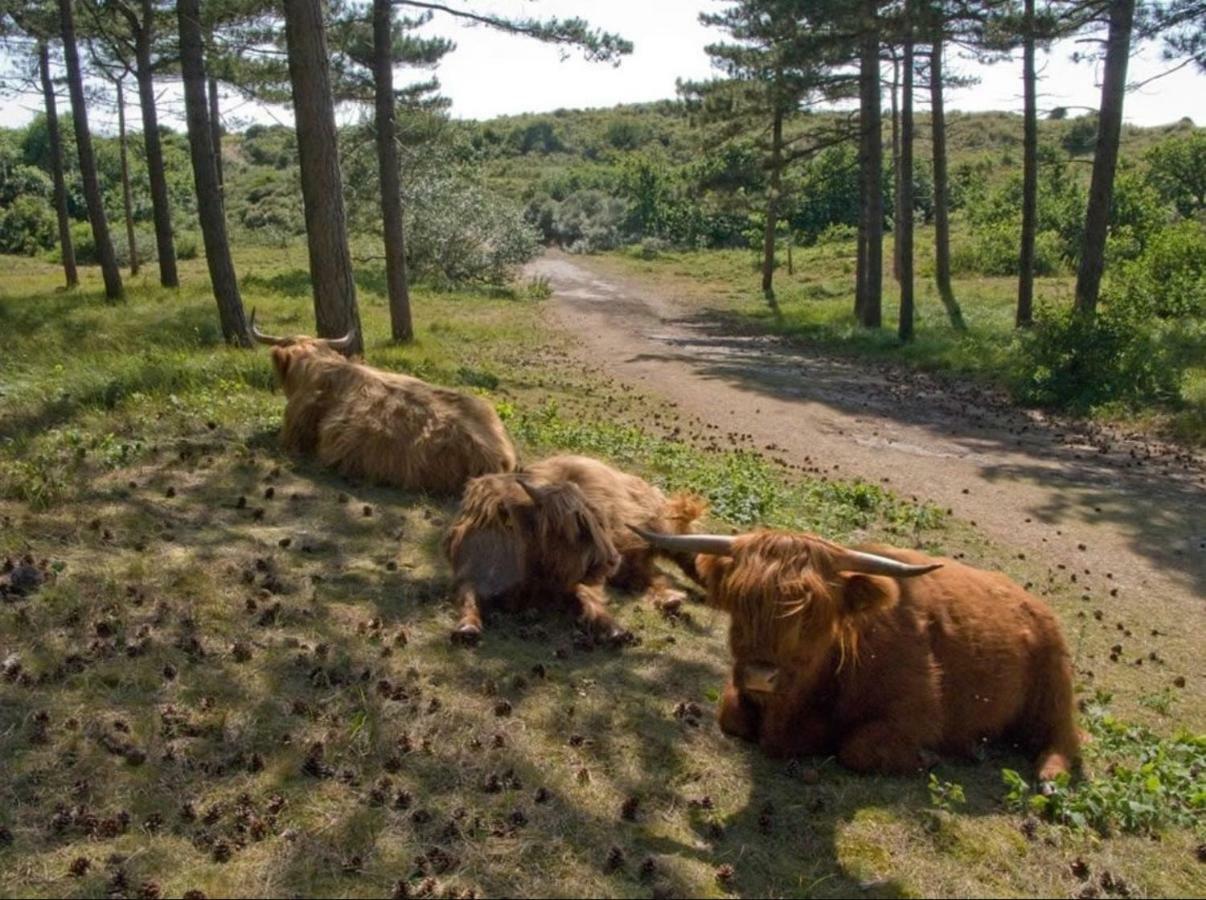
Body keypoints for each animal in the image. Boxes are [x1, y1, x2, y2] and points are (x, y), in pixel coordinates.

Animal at [443, 456, 704, 646]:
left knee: (687, 555)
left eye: (598, 521)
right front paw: (467, 628)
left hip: (659, 528)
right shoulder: (468, 573)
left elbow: (587, 597)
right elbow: (468, 597)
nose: (613, 560)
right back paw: (670, 600)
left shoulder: (576, 580)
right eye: (577, 527)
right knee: (646, 575)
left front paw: (615, 630)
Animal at [636, 526, 1080, 776]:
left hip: (1054, 688)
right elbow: (731, 715)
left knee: (1064, 737)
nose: (761, 674)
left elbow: (858, 749)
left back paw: (1047, 774)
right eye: (739, 602)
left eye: (814, 613)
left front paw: (927, 759)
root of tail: (1031, 602)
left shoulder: (919, 712)